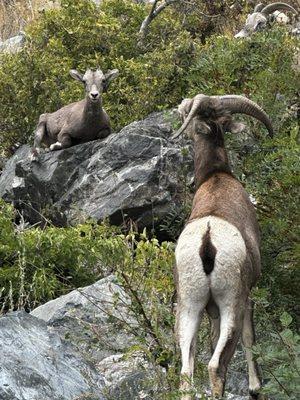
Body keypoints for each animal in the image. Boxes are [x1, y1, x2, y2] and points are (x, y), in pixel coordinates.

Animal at [172, 94, 274, 400]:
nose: (179, 107)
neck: (216, 177)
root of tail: (207, 241)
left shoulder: (211, 310)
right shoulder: (246, 298)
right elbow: (250, 338)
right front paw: (255, 387)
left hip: (189, 306)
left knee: (187, 372)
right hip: (231, 303)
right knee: (217, 366)